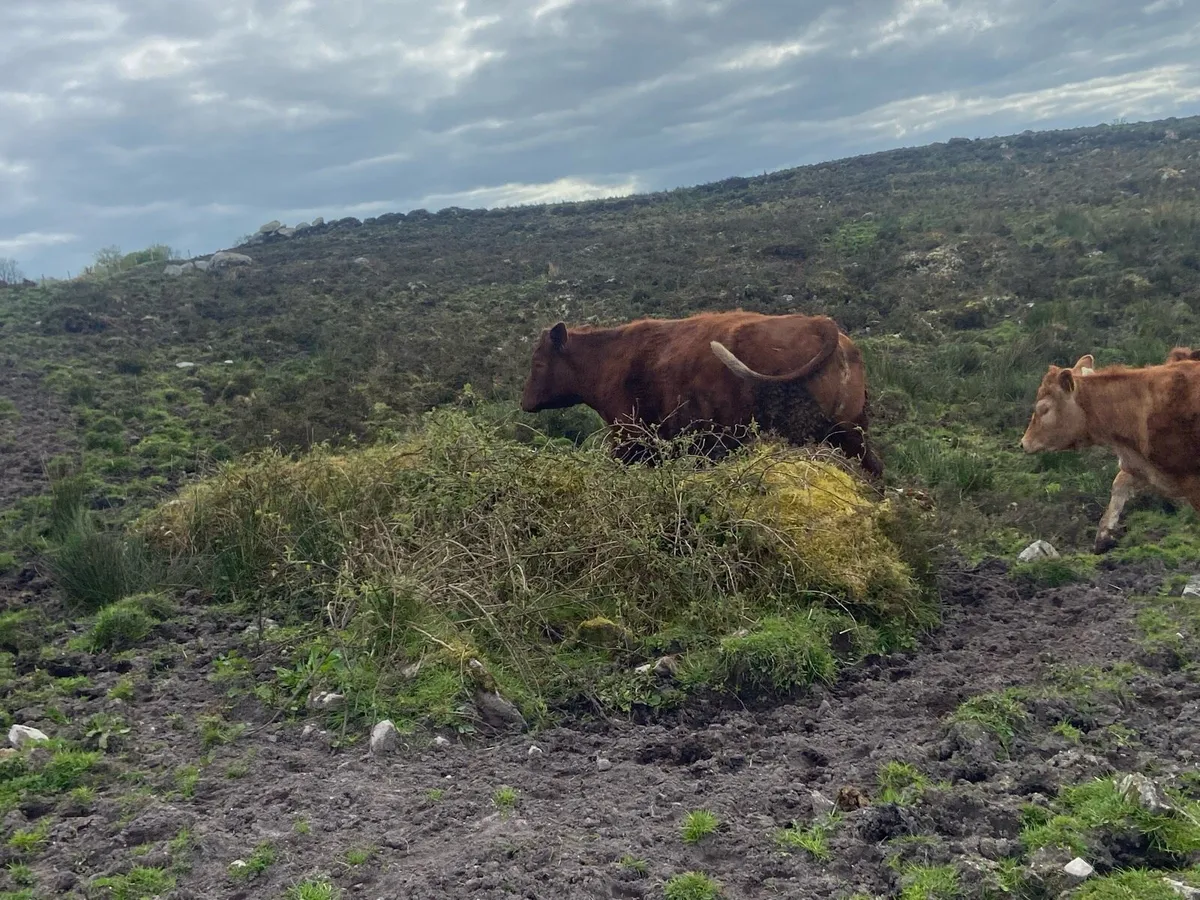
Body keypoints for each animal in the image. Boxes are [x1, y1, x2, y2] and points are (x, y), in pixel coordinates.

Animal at [520, 310, 882, 478]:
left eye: (537, 363)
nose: (525, 402)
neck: (608, 357)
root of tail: (818, 323)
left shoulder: (629, 440)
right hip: (852, 433)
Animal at [1020, 352, 1200, 553]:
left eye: (1043, 409)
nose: (1024, 442)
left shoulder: (1192, 480)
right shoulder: (1140, 465)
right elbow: (1119, 484)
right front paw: (1104, 536)